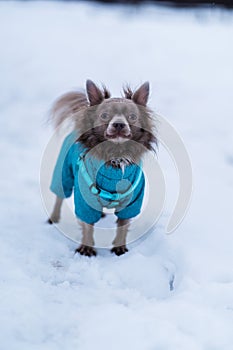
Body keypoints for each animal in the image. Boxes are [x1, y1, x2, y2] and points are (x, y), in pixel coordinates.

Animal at [48, 79, 156, 256]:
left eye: (132, 117)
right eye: (104, 115)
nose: (118, 124)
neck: (116, 158)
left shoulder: (132, 201)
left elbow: (123, 225)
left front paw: (119, 247)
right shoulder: (84, 200)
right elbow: (87, 225)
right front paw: (86, 248)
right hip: (63, 173)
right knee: (59, 196)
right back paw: (54, 218)